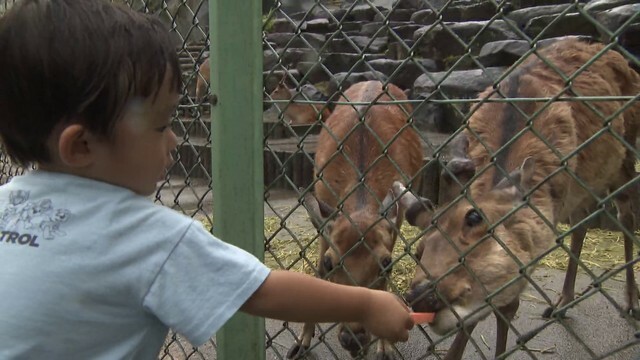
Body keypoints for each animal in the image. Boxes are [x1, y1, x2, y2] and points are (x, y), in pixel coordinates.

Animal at [288, 80, 422, 358]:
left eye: (387, 264)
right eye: (329, 263)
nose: (353, 339)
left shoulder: (394, 223)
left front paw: (385, 347)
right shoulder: (325, 215)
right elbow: (316, 273)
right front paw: (301, 342)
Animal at [396, 37, 640, 360]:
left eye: (475, 218)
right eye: (419, 250)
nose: (421, 296)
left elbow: (507, 306)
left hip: (626, 153)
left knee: (627, 211)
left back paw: (631, 301)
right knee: (581, 221)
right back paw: (562, 301)